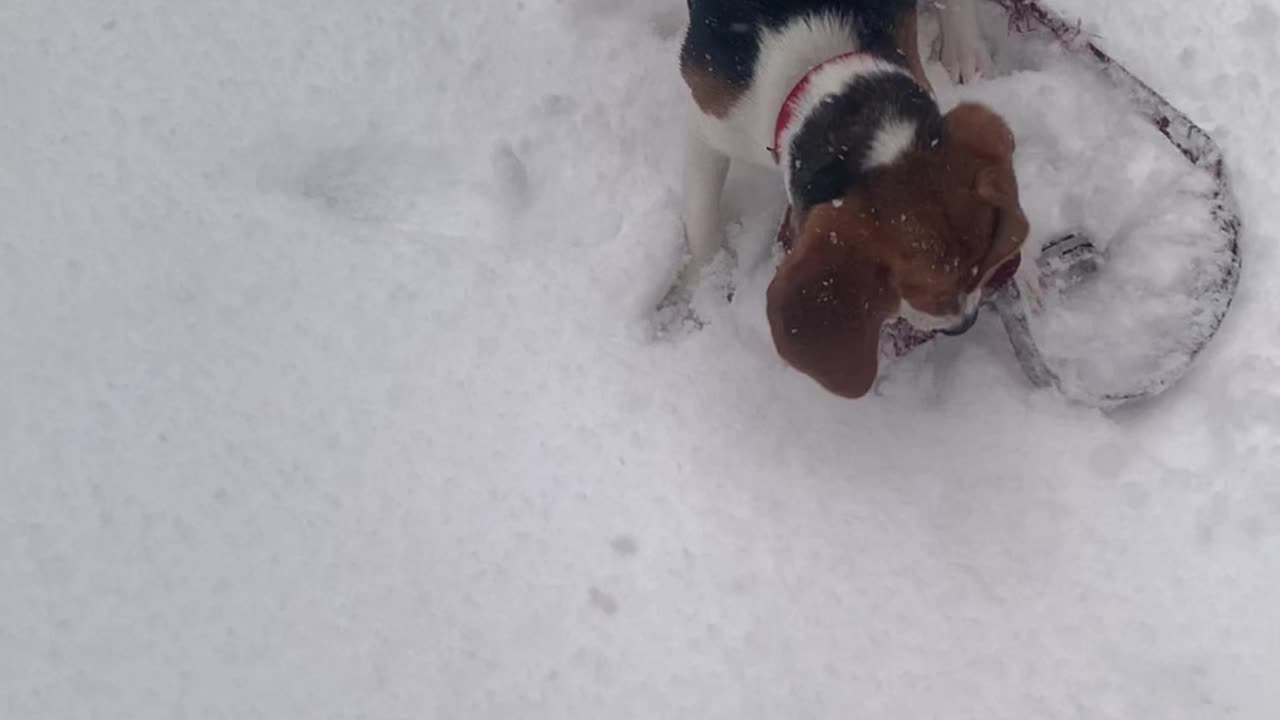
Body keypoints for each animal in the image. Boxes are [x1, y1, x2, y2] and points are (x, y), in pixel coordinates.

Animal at [680, 0, 1029, 394]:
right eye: (916, 286)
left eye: (980, 266)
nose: (964, 324)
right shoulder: (710, 125)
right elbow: (702, 223)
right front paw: (704, 292)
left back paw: (963, 49)